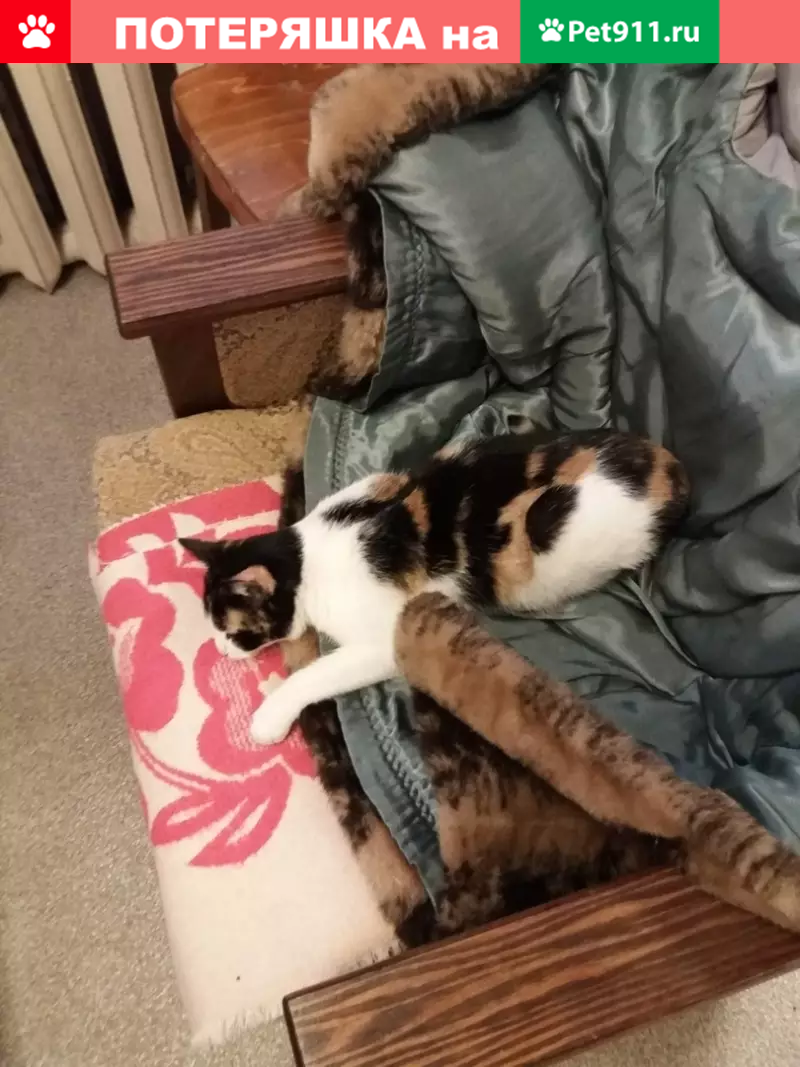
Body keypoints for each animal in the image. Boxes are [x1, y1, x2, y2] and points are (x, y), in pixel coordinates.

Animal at [180, 429, 689, 745]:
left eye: (233, 632)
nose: (221, 650)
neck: (306, 554)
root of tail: (672, 471)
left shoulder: (384, 637)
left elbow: (316, 673)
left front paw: (269, 717)